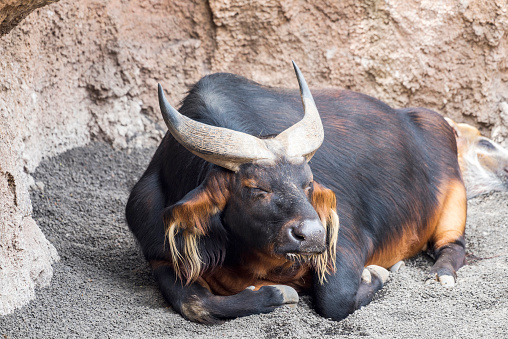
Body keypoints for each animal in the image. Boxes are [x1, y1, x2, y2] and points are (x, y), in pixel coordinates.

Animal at [125, 61, 466, 324]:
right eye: (255, 188)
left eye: (308, 183)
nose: (313, 236)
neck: (244, 256)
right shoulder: (158, 252)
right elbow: (195, 303)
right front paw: (274, 293)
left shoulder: (342, 242)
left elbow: (336, 299)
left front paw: (376, 274)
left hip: (455, 197)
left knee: (453, 245)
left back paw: (440, 274)